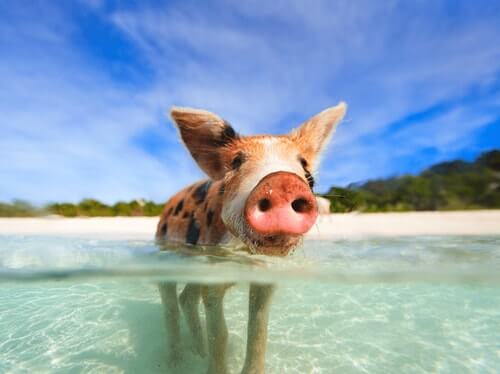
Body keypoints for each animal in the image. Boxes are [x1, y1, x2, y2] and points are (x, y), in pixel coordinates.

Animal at [156, 101, 348, 372]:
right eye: (236, 162)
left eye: (305, 168)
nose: (282, 182)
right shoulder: (212, 273)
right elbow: (220, 334)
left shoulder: (265, 278)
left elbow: (258, 331)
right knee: (171, 304)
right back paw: (175, 362)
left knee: (187, 299)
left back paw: (198, 352)